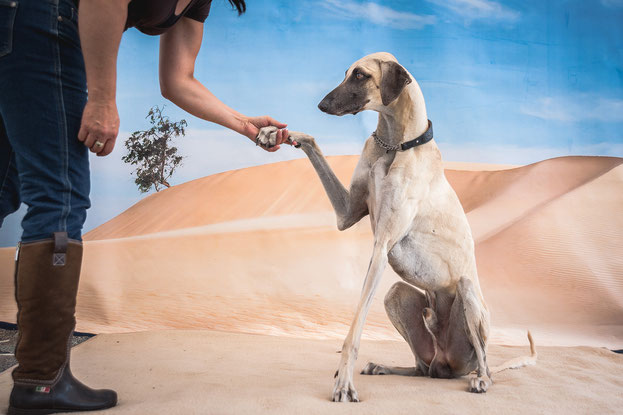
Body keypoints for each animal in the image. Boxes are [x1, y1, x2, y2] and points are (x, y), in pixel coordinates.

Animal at [258, 52, 536, 404]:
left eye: (360, 75)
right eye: (346, 73)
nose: (322, 105)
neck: (394, 144)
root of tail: (451, 364)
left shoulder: (382, 245)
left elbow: (354, 330)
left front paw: (344, 383)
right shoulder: (346, 214)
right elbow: (313, 141)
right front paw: (274, 132)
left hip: (468, 295)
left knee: (484, 362)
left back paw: (481, 380)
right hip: (397, 297)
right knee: (422, 368)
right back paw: (384, 367)